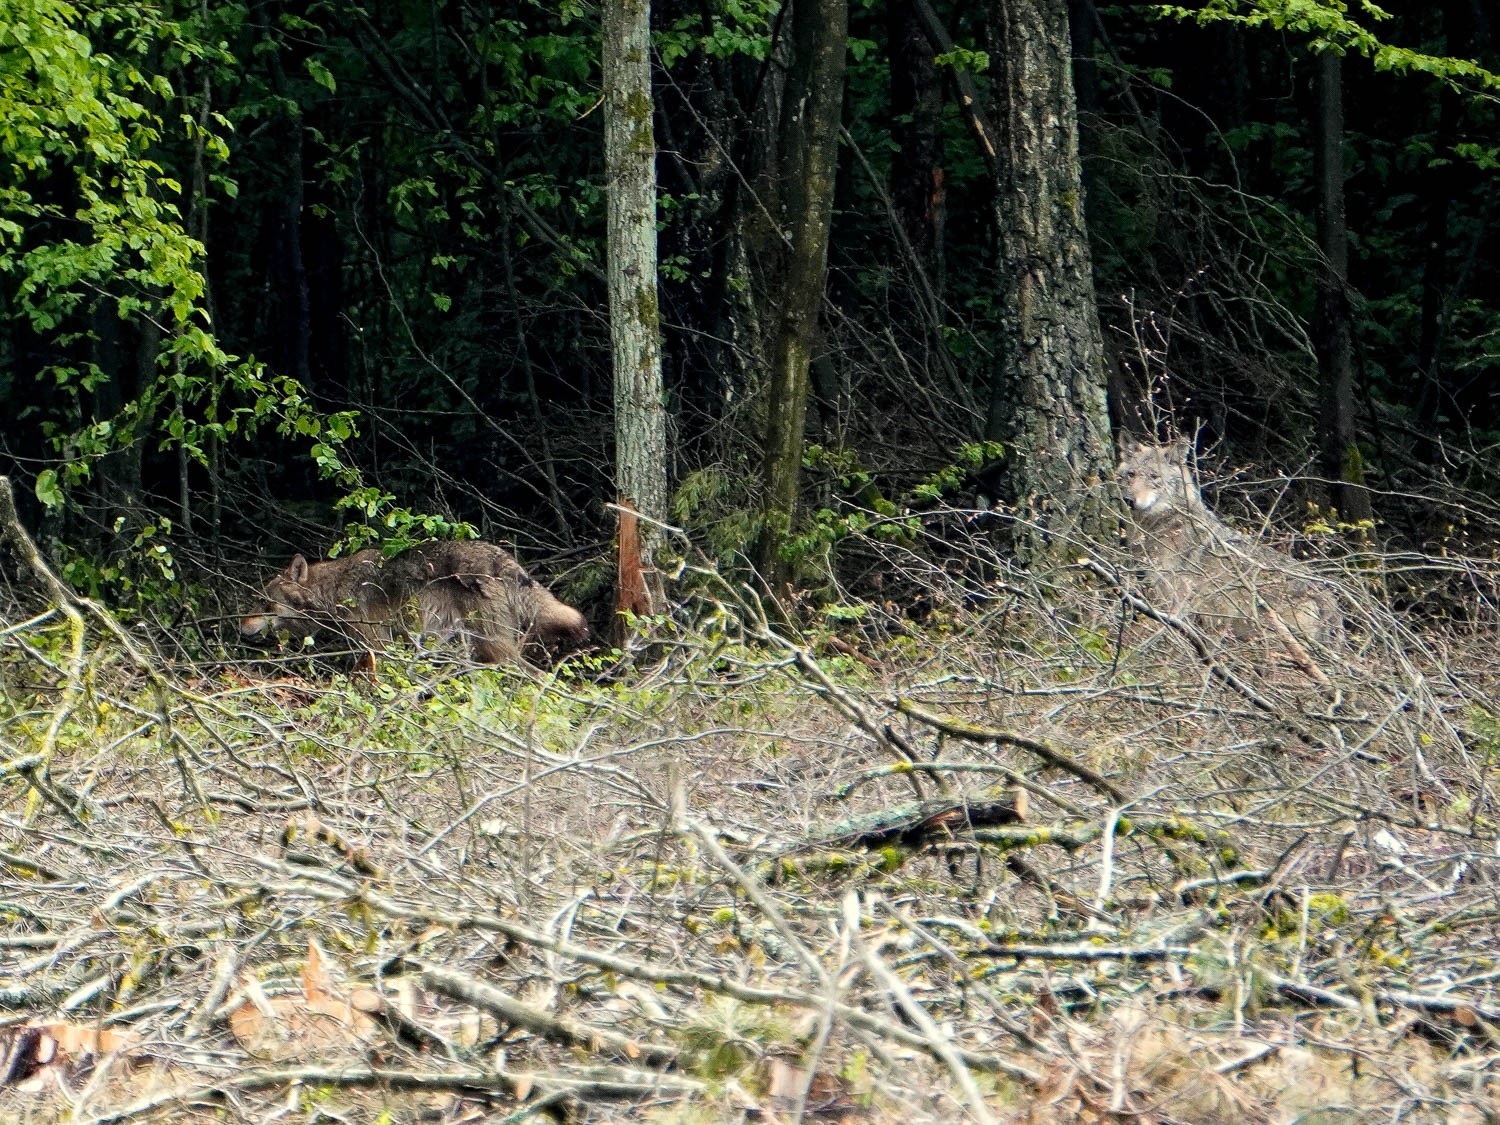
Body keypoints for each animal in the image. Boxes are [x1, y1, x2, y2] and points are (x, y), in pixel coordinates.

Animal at [243, 543, 588, 675]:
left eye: (263, 602)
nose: (240, 626)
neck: (334, 589)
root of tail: (505, 559)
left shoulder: (378, 643)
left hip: (494, 647)